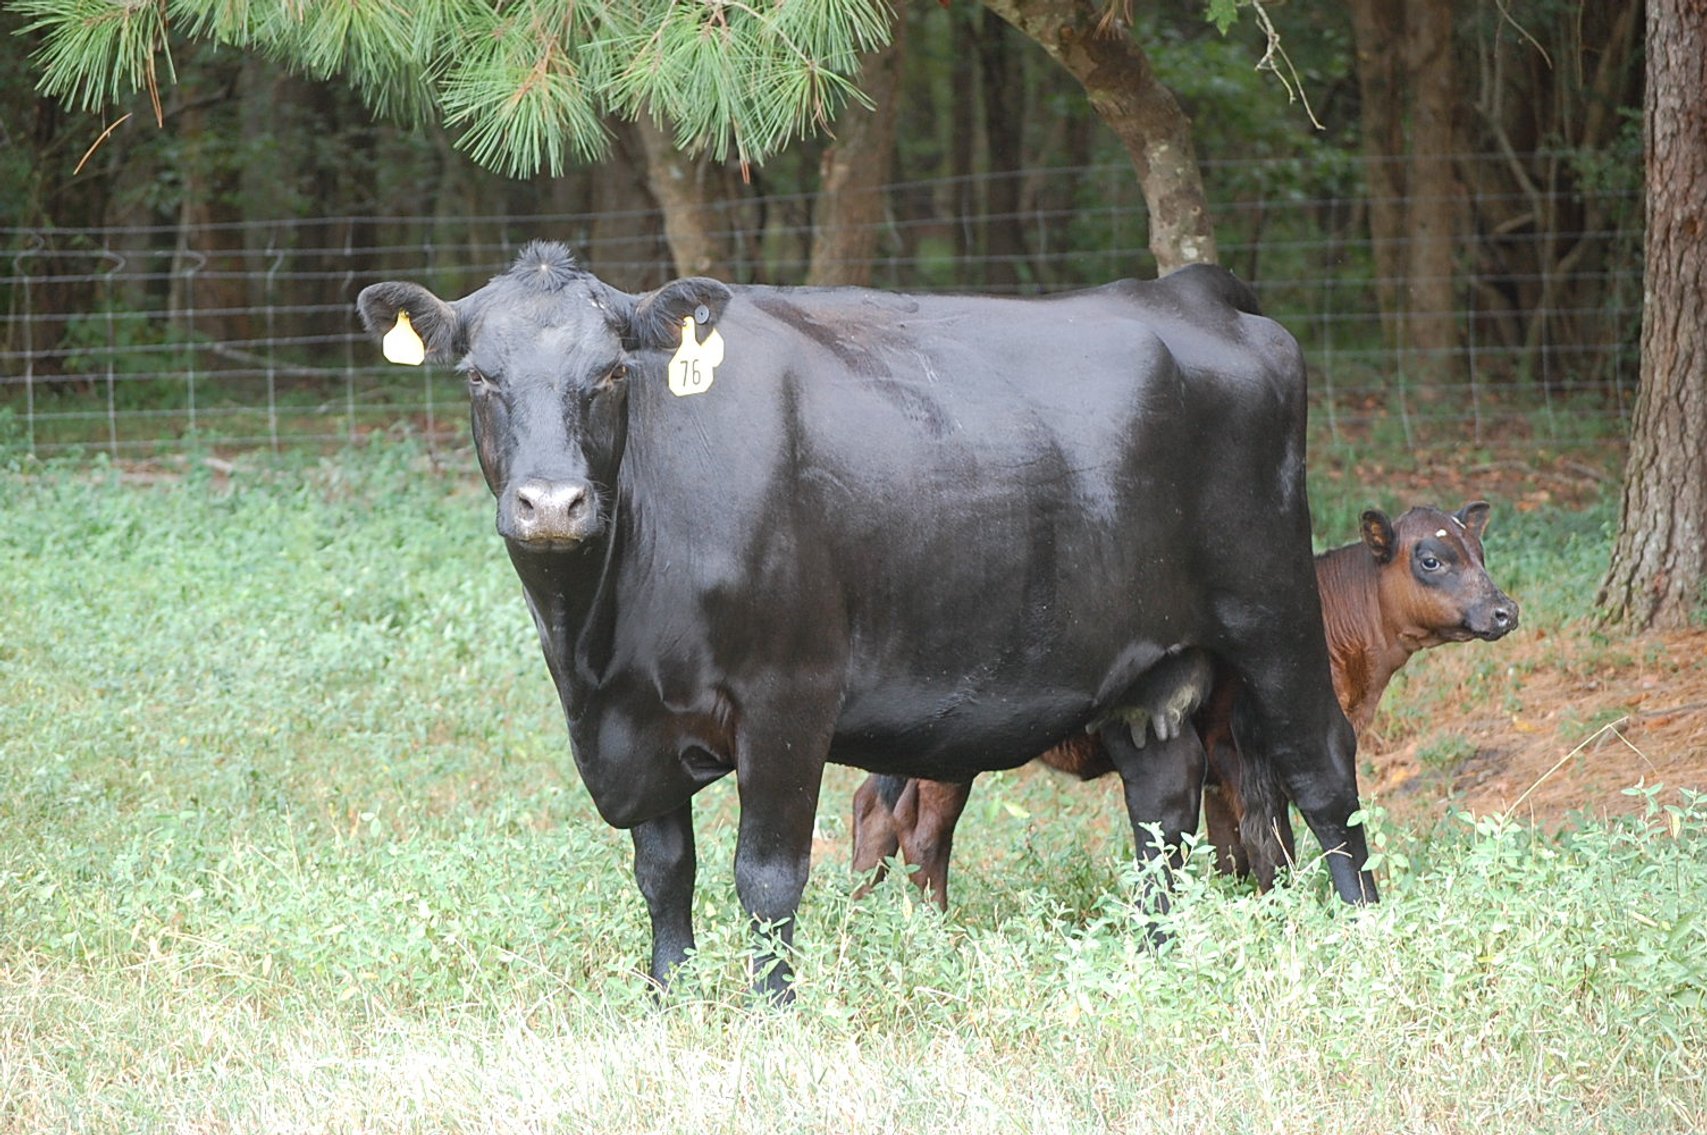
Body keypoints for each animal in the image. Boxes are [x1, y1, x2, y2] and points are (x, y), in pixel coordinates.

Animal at [357, 242, 1375, 1000]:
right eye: (480, 375)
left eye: (609, 373)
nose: (552, 504)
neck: (596, 639)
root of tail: (1189, 290)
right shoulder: (634, 725)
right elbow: (663, 871)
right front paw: (668, 998)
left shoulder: (788, 694)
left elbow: (766, 874)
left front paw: (770, 1010)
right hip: (1142, 662)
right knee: (1161, 806)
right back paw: (1149, 958)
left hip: (1273, 609)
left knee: (1324, 774)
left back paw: (1369, 935)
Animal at [850, 501, 1519, 904]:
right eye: (1431, 559)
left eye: (1481, 553)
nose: (1504, 610)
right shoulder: (1244, 745)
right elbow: (1268, 839)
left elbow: (1231, 846)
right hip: (946, 755)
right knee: (923, 830)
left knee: (873, 809)